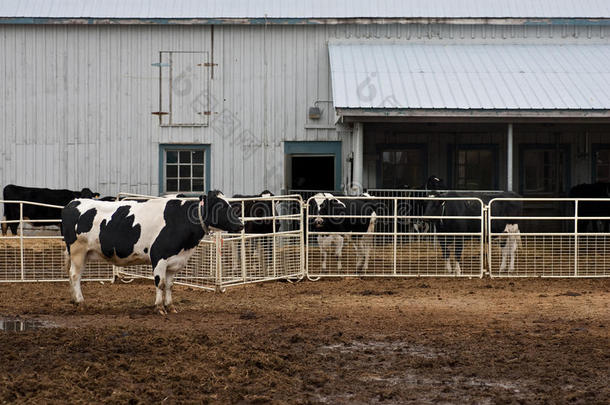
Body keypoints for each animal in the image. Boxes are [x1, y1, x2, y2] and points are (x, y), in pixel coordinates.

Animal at [61, 189, 242, 312]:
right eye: (220, 206)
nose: (241, 225)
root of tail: (73, 202)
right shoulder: (159, 257)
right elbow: (160, 283)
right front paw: (159, 307)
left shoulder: (174, 262)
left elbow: (170, 285)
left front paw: (171, 307)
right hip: (78, 251)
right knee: (75, 275)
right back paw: (81, 302)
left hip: (82, 254)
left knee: (72, 275)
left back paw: (74, 300)